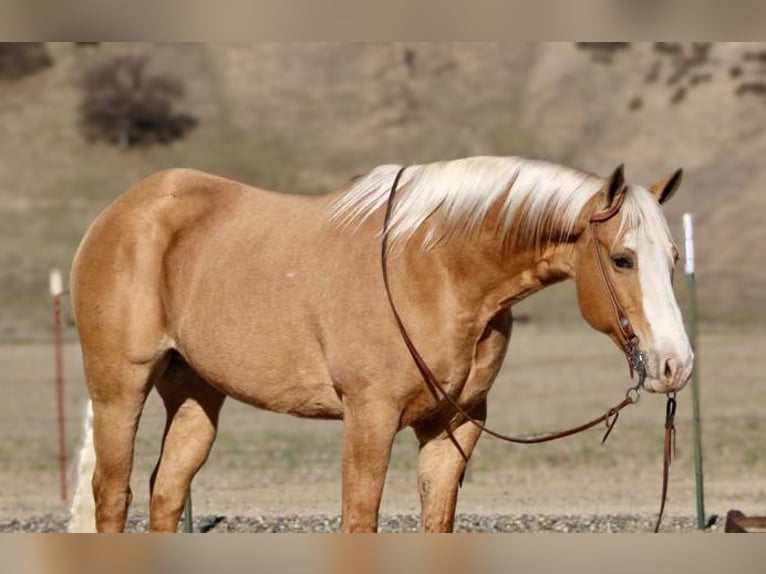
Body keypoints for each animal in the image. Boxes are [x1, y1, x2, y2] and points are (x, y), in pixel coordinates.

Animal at [69, 155, 693, 533]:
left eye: (673, 257)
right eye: (622, 259)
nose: (676, 364)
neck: (438, 268)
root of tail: (121, 212)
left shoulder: (454, 424)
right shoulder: (369, 419)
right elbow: (359, 519)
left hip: (196, 395)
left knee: (167, 491)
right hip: (120, 389)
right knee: (113, 494)